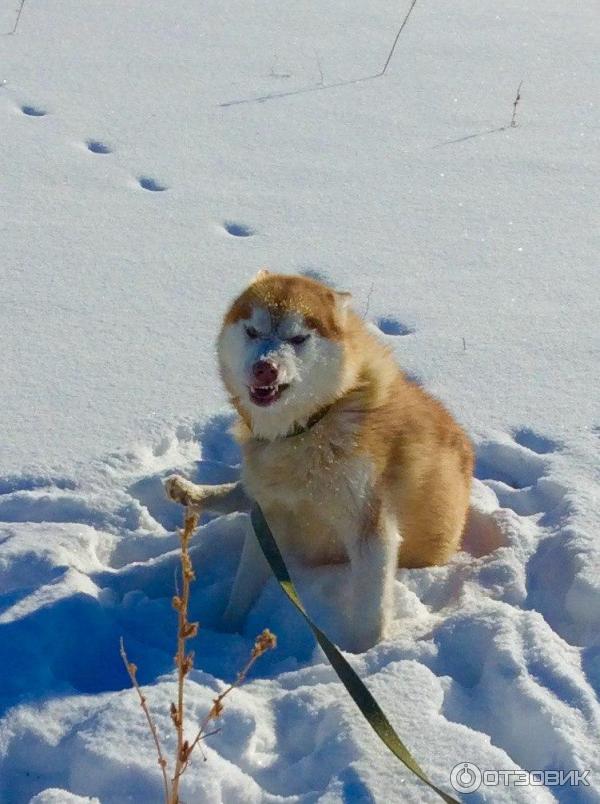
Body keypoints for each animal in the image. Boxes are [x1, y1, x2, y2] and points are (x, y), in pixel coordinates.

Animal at [164, 272, 474, 652]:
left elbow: (370, 614)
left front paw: (364, 655)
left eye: (298, 338)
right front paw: (225, 630)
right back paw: (189, 491)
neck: (309, 427)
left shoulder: (370, 526)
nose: (264, 368)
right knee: (241, 491)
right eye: (252, 331)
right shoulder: (269, 518)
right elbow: (242, 588)